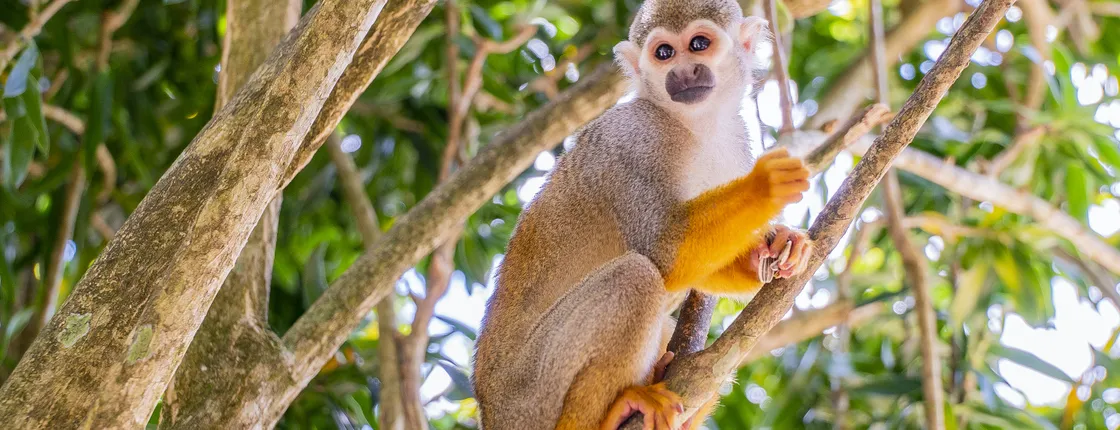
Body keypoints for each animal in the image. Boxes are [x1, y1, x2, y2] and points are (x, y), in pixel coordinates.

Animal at [472, 0, 813, 429]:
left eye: (699, 44)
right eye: (663, 53)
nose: (682, 72)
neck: (692, 125)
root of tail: (490, 413)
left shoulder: (735, 139)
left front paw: (775, 248)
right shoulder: (635, 140)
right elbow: (665, 251)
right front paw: (764, 186)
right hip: (531, 396)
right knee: (634, 278)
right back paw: (613, 409)